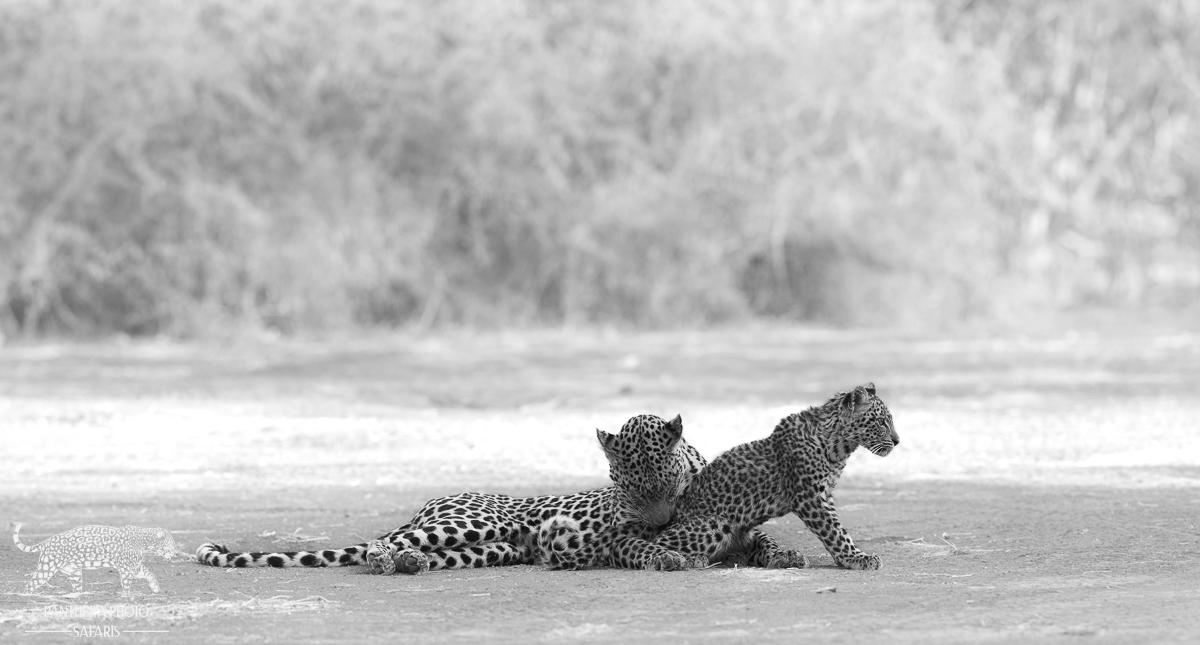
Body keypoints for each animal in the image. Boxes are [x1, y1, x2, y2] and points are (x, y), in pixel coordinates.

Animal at [13, 523, 183, 597]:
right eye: (171, 543)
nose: (176, 553)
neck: (145, 542)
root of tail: (46, 541)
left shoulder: (134, 566)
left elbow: (149, 573)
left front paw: (155, 587)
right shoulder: (126, 569)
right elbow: (127, 584)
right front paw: (127, 595)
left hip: (74, 572)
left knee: (76, 588)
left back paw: (78, 596)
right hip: (47, 567)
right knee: (30, 585)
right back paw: (25, 596)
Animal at [195, 413, 706, 575]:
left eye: (665, 486)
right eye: (627, 490)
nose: (660, 521)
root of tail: (429, 504)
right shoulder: (616, 538)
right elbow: (638, 545)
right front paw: (669, 556)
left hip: (494, 548)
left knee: (429, 553)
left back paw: (410, 564)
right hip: (475, 522)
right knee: (379, 546)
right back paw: (386, 560)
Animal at [564, 383, 898, 572]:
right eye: (881, 422)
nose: (897, 441)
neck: (837, 443)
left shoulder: (822, 495)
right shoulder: (811, 497)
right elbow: (836, 533)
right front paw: (857, 559)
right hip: (711, 527)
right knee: (640, 545)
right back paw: (682, 560)